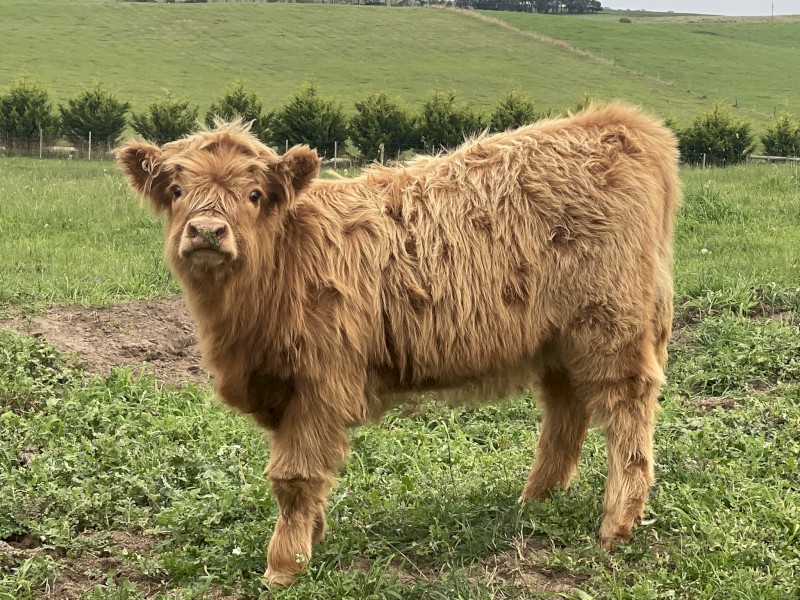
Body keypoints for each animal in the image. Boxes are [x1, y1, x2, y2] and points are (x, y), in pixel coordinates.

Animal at [116, 101, 680, 586]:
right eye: (175, 189)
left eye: (253, 194)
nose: (208, 231)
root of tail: (620, 123)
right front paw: (313, 537)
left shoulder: (319, 385)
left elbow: (294, 478)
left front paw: (284, 565)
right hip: (559, 338)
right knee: (566, 408)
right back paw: (535, 500)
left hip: (610, 327)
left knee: (626, 407)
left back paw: (616, 524)